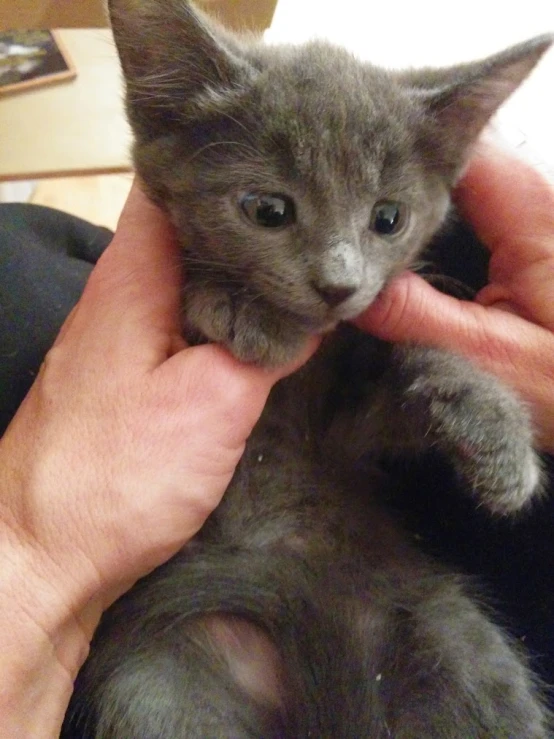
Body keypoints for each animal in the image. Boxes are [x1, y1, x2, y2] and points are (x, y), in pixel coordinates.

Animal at [62, 2, 548, 736]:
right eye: (268, 210)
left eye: (388, 218)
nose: (338, 285)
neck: (294, 387)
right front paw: (237, 305)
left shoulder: (347, 436)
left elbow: (406, 389)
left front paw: (491, 431)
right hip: (160, 678)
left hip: (450, 635)